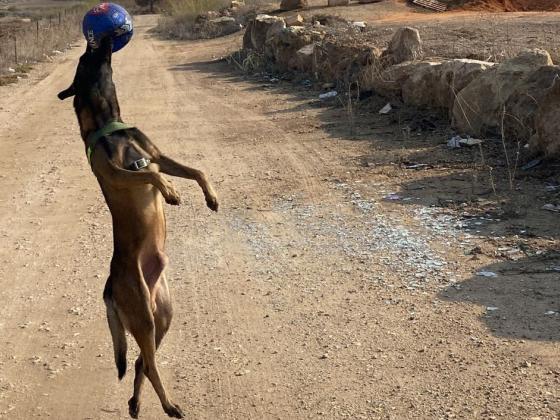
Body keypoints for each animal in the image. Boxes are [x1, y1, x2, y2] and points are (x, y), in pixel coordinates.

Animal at [57, 35, 219, 416]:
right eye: (85, 59)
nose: (95, 40)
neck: (108, 122)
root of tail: (109, 287)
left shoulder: (158, 155)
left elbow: (195, 170)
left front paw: (210, 197)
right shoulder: (118, 173)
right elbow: (150, 174)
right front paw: (170, 191)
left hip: (163, 316)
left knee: (140, 362)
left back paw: (136, 402)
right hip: (144, 318)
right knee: (150, 364)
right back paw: (169, 404)